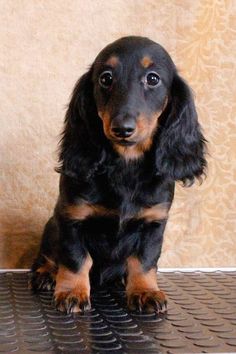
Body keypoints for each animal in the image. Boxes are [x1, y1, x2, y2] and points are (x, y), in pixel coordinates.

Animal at [30, 36, 206, 312]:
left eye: (153, 78)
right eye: (106, 78)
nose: (122, 128)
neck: (126, 165)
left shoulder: (154, 223)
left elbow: (144, 261)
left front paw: (145, 291)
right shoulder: (71, 218)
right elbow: (75, 258)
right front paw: (72, 292)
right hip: (51, 227)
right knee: (48, 256)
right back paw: (45, 275)